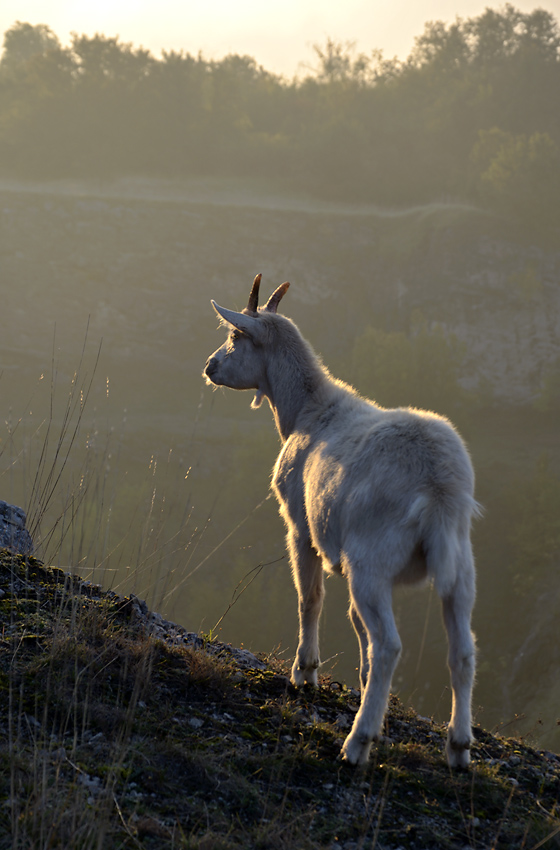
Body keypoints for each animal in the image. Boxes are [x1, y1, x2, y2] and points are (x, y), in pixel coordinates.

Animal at [203, 274, 480, 764]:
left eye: (236, 335)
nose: (210, 366)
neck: (307, 410)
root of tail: (440, 487)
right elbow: (354, 623)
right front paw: (371, 698)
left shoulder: (300, 527)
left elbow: (310, 599)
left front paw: (305, 672)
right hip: (459, 564)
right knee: (462, 651)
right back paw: (459, 749)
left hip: (372, 558)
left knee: (389, 645)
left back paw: (357, 743)